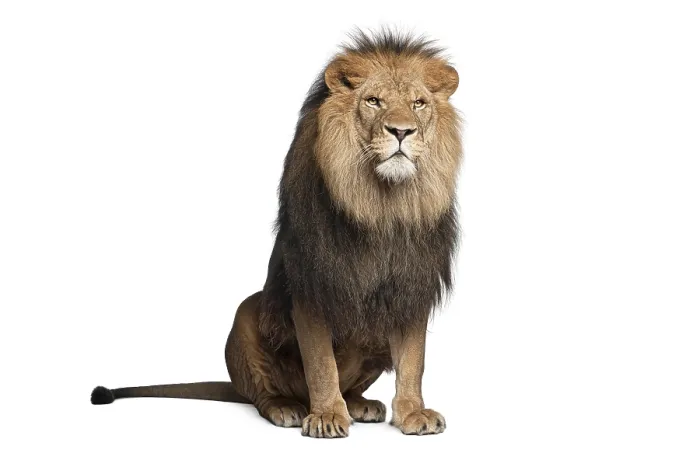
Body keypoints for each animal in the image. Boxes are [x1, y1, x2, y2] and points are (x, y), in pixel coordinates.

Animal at [91, 29, 462, 438]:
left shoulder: (412, 286)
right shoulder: (311, 285)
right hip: (245, 315)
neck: (382, 204)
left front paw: (413, 413)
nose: (401, 131)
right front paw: (326, 416)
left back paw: (359, 404)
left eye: (418, 104)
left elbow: (413, 360)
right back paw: (289, 408)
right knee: (262, 395)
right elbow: (321, 363)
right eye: (373, 101)